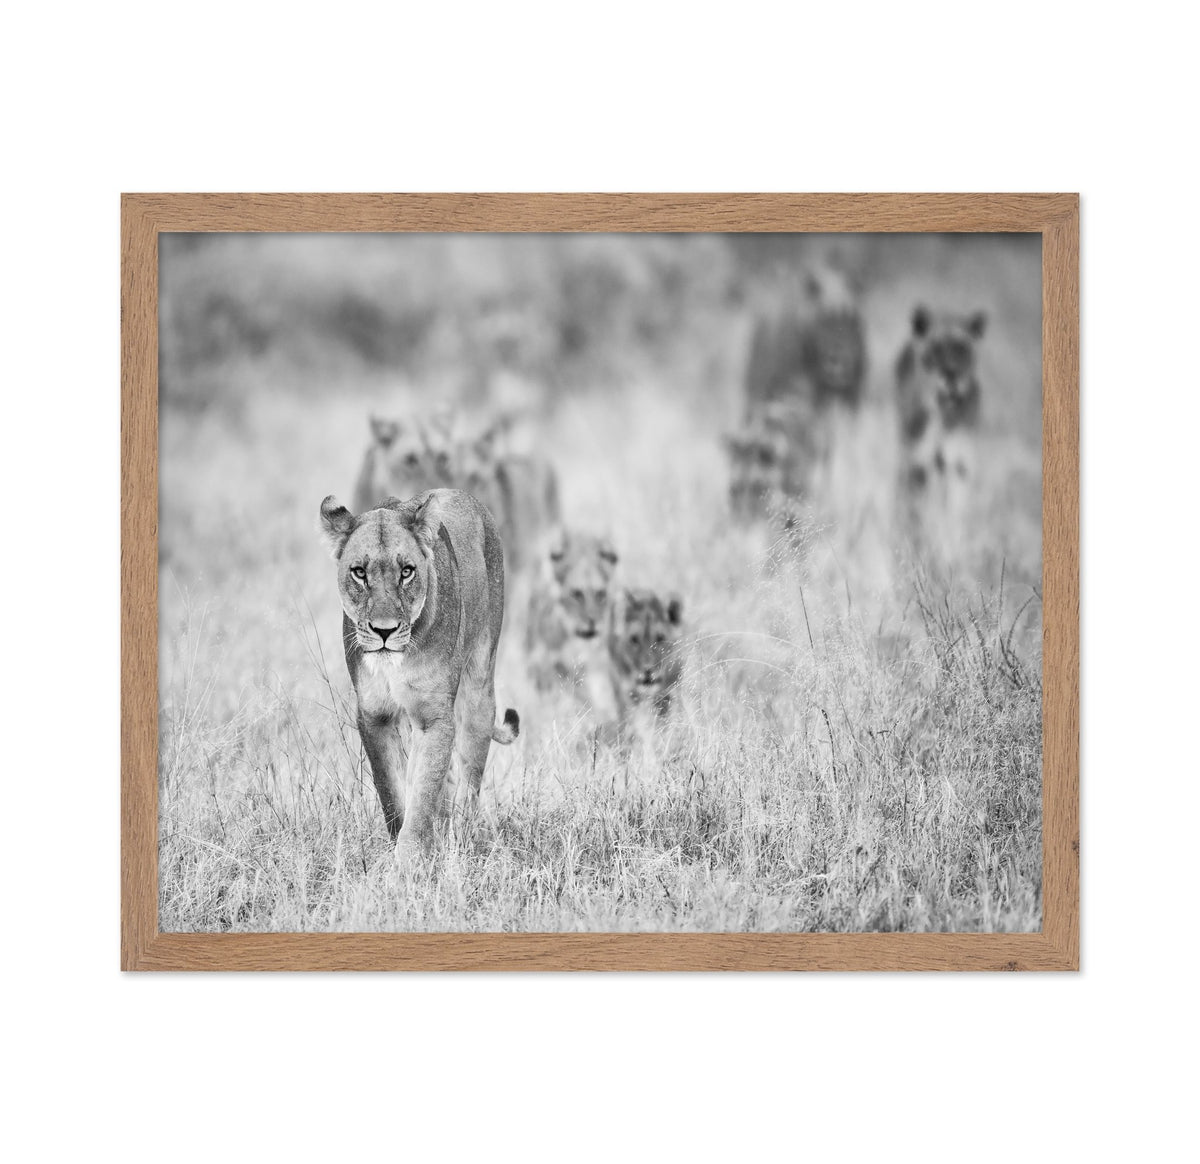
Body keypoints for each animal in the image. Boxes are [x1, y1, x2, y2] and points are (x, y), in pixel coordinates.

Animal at [319, 488, 519, 859]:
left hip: (479, 689)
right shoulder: (373, 715)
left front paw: (410, 862)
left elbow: (423, 794)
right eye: (359, 572)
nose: (384, 631)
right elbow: (393, 794)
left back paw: (461, 843)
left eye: (407, 571)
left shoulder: (434, 717)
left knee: (468, 784)